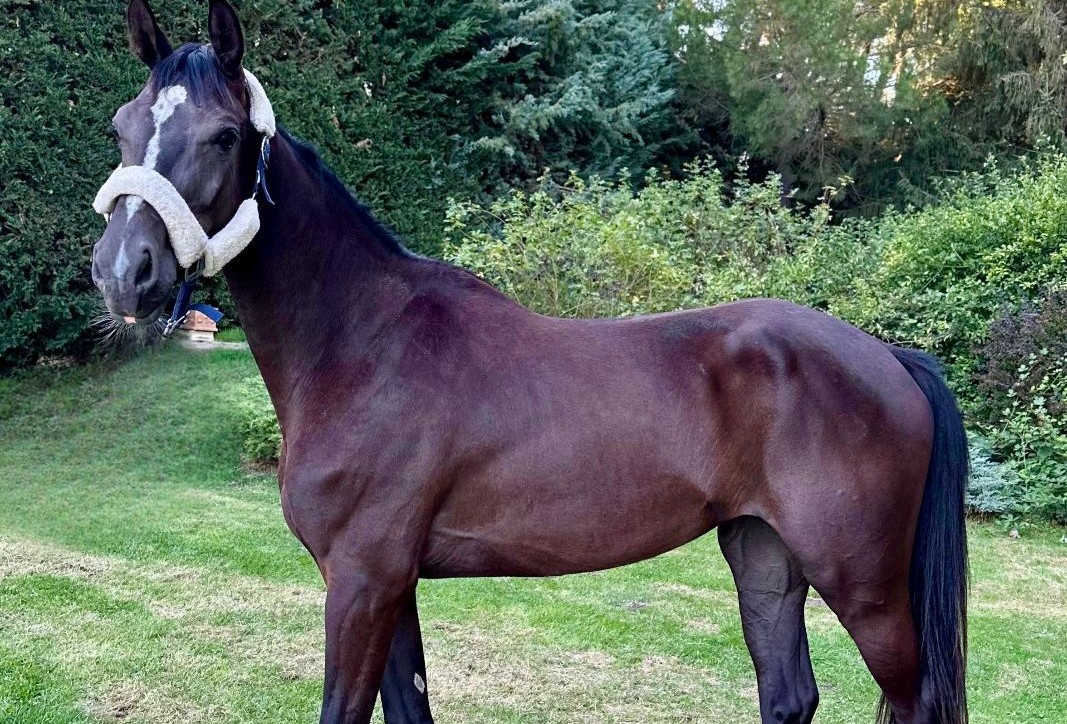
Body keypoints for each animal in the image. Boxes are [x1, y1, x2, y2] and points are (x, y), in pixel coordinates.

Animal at [90, 2, 968, 723]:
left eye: (223, 135)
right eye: (122, 127)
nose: (122, 271)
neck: (362, 344)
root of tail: (888, 357)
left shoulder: (361, 582)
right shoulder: (391, 586)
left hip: (864, 588)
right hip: (762, 553)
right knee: (788, 695)